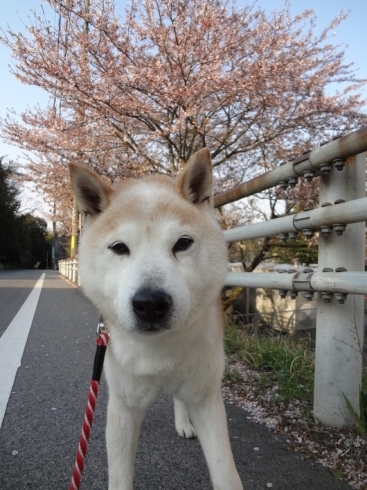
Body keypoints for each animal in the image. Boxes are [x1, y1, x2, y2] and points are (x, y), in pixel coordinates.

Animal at [69, 150, 243, 490]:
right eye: (119, 248)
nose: (150, 304)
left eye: (182, 243)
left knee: (179, 397)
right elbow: (120, 476)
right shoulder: (124, 406)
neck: (159, 350)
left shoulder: (206, 397)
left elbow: (226, 472)